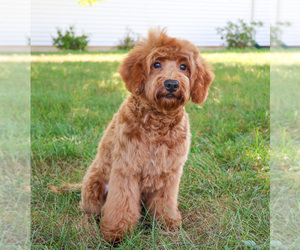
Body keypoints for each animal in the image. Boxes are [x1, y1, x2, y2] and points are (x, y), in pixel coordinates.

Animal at [81, 29, 214, 242]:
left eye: (183, 66)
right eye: (156, 64)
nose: (171, 84)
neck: (158, 122)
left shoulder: (170, 173)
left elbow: (165, 201)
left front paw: (167, 223)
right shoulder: (126, 169)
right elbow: (121, 204)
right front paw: (117, 232)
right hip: (94, 183)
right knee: (91, 210)